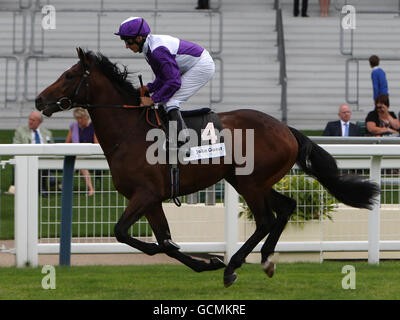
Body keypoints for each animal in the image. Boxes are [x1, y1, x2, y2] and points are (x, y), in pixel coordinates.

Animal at [35, 48, 378, 288]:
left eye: (69, 75)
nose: (39, 100)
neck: (129, 132)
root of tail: (286, 128)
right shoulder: (150, 199)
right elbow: (164, 242)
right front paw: (206, 262)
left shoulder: (145, 194)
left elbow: (124, 233)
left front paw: (212, 262)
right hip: (249, 181)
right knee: (287, 207)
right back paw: (265, 260)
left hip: (251, 182)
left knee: (266, 220)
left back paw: (233, 266)